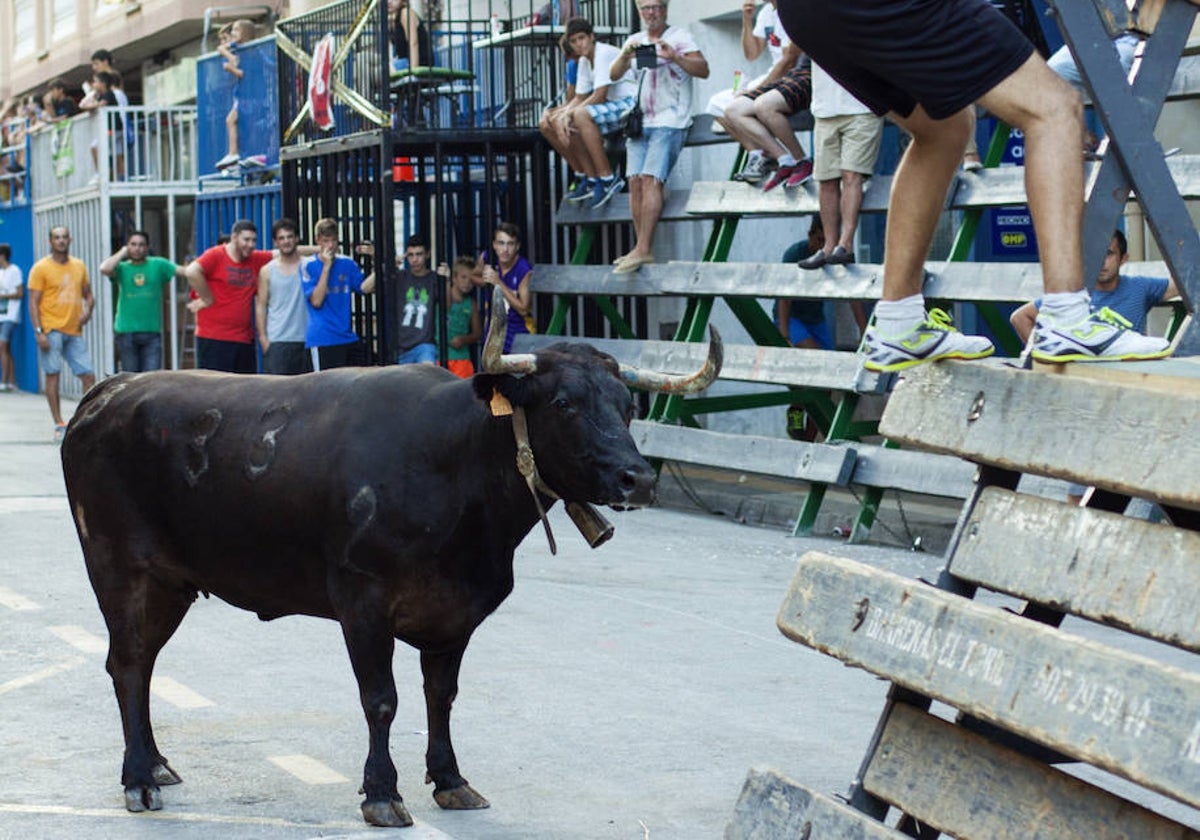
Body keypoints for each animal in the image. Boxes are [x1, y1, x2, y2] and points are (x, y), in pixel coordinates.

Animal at [60, 328, 720, 825]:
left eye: (628, 406)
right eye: (564, 403)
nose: (639, 478)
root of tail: (109, 392)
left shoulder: (457, 613)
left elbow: (441, 696)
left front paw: (450, 779)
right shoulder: (363, 603)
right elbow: (381, 700)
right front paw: (382, 792)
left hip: (170, 584)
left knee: (143, 665)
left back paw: (158, 764)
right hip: (118, 570)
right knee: (126, 665)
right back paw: (139, 779)